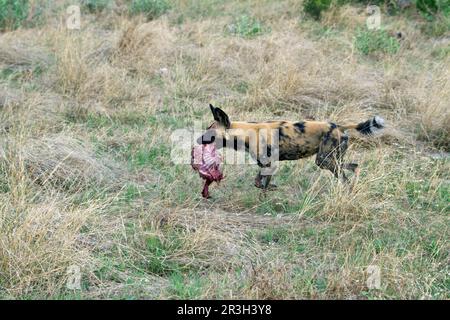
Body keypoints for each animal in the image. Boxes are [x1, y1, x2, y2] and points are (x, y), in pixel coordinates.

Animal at [197, 104, 384, 190]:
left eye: (210, 132)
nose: (198, 140)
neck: (246, 133)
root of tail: (338, 126)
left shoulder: (269, 164)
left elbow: (261, 184)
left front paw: (268, 192)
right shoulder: (267, 164)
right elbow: (259, 182)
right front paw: (269, 190)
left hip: (324, 161)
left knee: (345, 177)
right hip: (332, 160)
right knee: (355, 167)